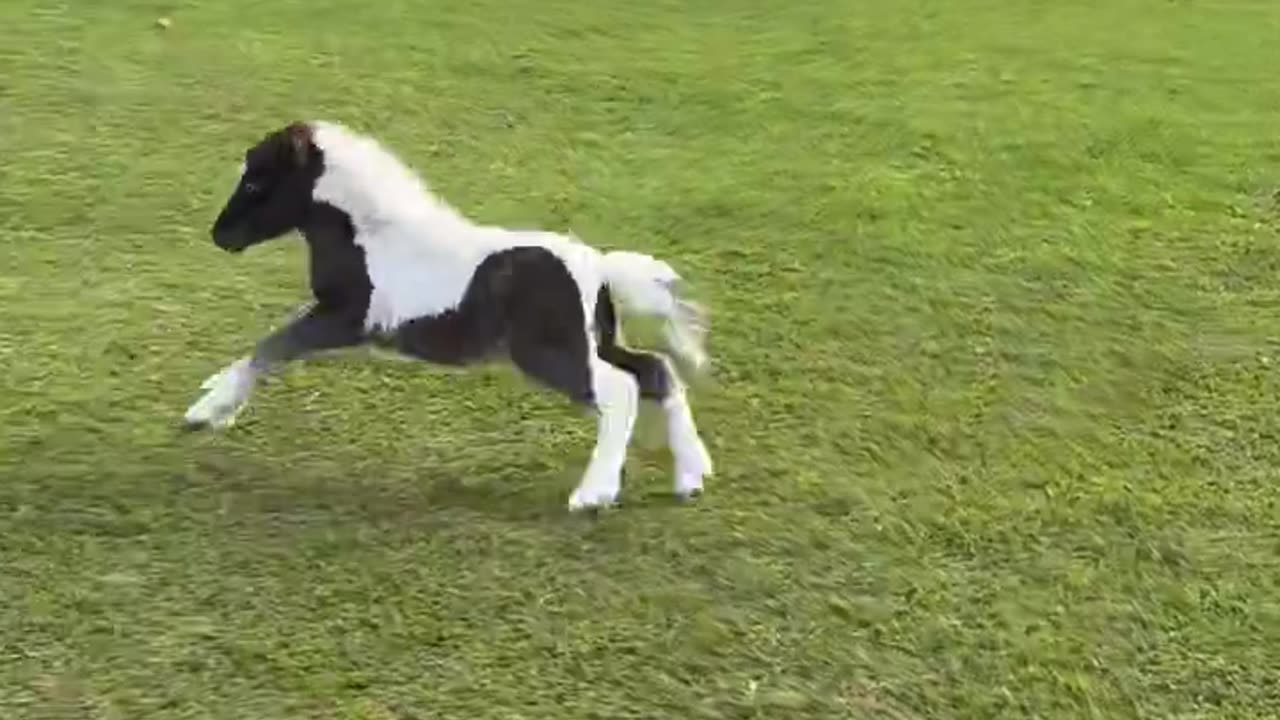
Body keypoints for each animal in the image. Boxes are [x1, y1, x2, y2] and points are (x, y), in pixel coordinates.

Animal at [183, 120, 714, 511]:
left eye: (256, 180)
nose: (220, 236)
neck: (372, 235)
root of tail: (600, 268)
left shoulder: (347, 319)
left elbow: (273, 345)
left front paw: (206, 411)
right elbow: (272, 344)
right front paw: (212, 395)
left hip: (551, 354)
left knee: (621, 389)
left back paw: (593, 495)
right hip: (595, 343)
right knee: (656, 371)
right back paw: (691, 476)